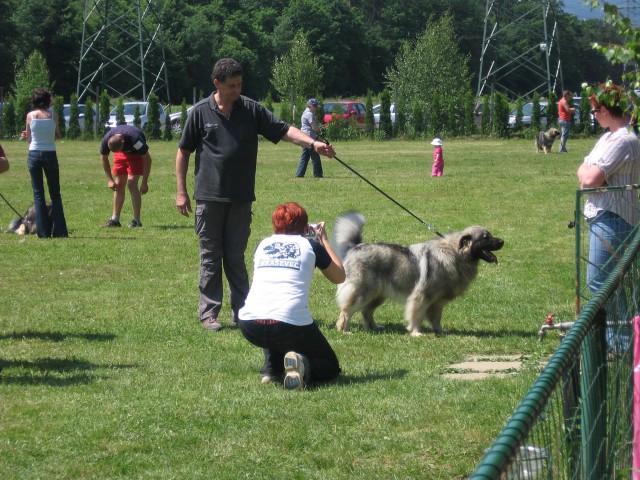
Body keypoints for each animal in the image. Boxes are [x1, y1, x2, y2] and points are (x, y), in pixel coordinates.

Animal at [332, 212, 502, 340]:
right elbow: (417, 315)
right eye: (486, 237)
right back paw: (344, 330)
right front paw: (415, 332)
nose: (502, 241)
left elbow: (436, 318)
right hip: (363, 293)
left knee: (366, 311)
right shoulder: (421, 297)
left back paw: (374, 327)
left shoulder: (437, 302)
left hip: (378, 295)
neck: (457, 254)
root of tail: (355, 247)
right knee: (346, 311)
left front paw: (439, 331)